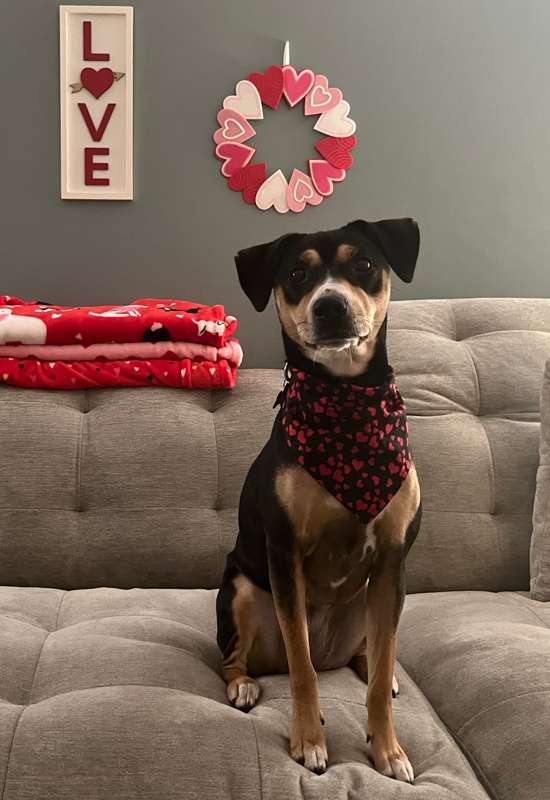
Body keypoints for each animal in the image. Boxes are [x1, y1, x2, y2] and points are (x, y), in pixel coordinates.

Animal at [216, 217, 422, 780]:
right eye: (296, 274)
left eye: (364, 264)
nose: (330, 306)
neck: (346, 404)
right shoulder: (284, 554)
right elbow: (301, 669)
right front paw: (309, 741)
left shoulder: (392, 561)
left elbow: (379, 680)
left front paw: (388, 749)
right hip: (240, 590)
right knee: (241, 659)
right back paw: (244, 685)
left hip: (371, 603)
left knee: (375, 655)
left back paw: (377, 668)